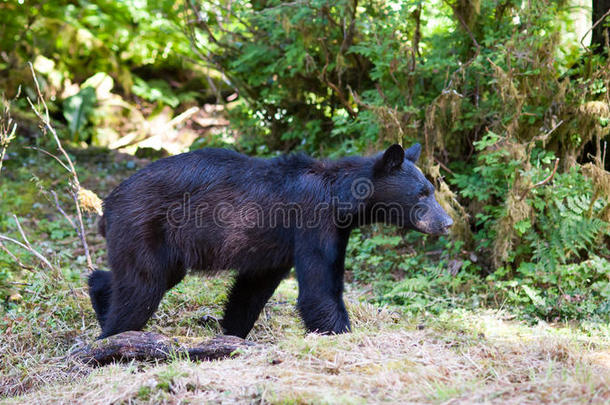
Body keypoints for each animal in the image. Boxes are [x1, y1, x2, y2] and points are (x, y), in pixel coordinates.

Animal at [89, 144, 452, 340]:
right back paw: (112, 336)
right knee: (142, 287)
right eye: (421, 194)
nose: (447, 222)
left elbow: (251, 290)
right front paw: (341, 335)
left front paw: (233, 335)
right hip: (145, 228)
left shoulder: (279, 246)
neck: (342, 199)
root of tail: (108, 204)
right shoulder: (314, 222)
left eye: (431, 191)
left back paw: (100, 296)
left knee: (134, 278)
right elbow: (319, 289)